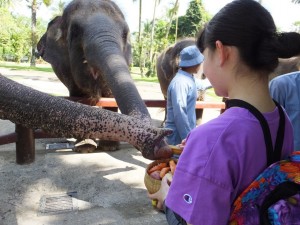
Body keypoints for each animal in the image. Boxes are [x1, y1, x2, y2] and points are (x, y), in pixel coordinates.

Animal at [37, 0, 152, 152]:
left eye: (125, 34)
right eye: (75, 31)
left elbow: (111, 97)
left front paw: (110, 148)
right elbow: (80, 98)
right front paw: (85, 149)